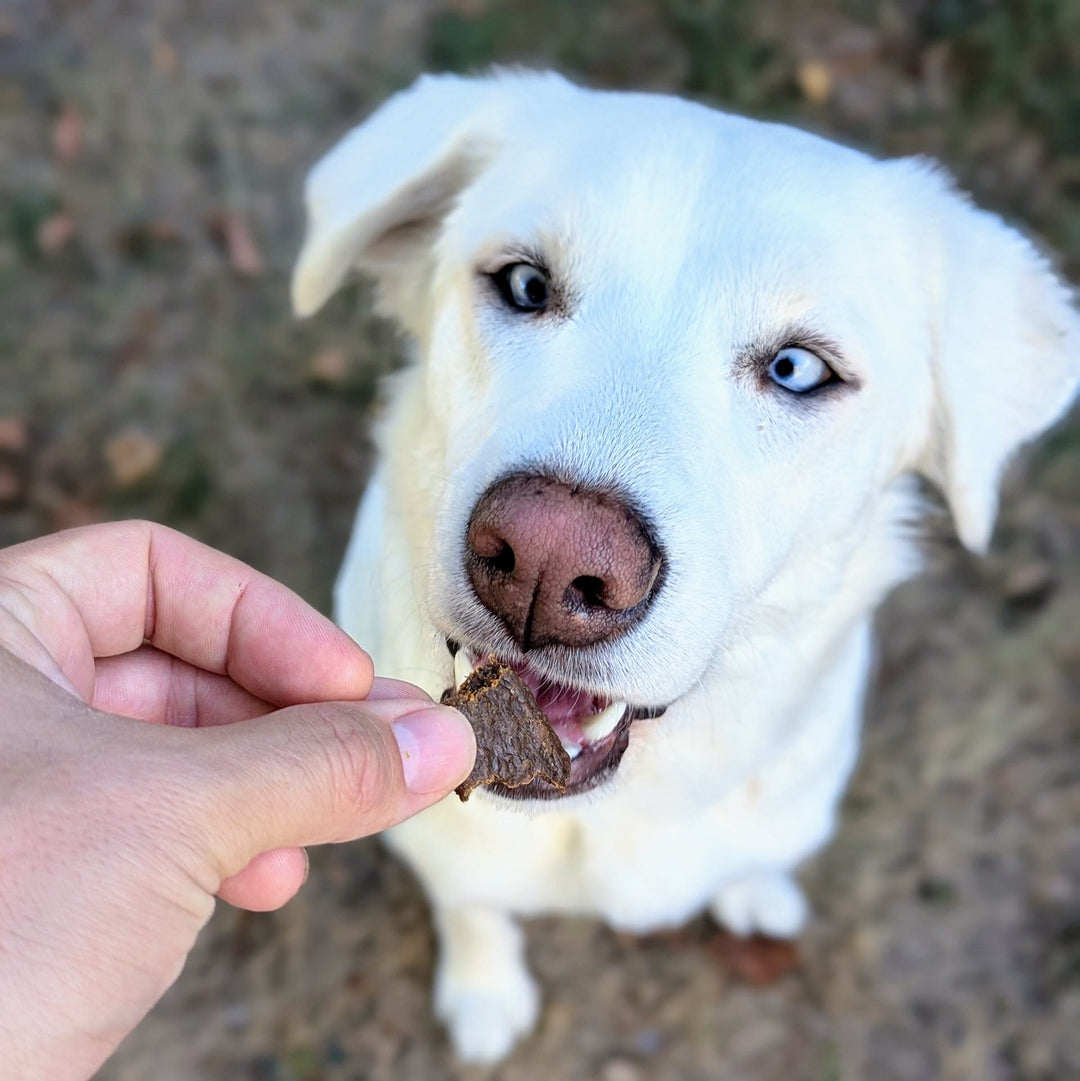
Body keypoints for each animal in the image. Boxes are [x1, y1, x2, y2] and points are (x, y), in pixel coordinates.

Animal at [289, 71, 1080, 1059]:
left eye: (796, 369)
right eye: (524, 284)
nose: (548, 563)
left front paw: (754, 889)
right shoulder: (441, 844)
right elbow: (474, 907)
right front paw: (484, 990)